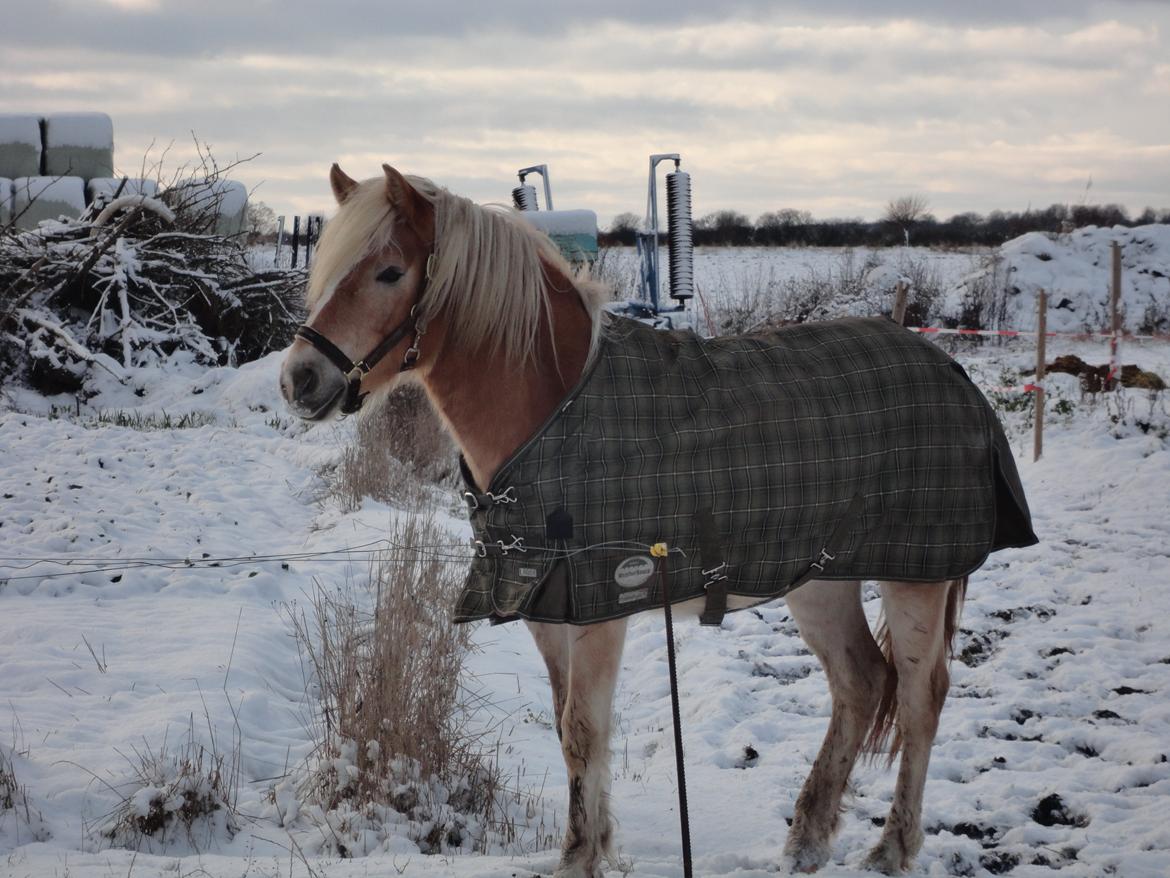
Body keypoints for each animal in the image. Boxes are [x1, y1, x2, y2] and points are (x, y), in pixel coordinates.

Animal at [283, 163, 1043, 875]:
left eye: (389, 271)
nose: (300, 380)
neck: (550, 408)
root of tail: (948, 365)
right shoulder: (544, 605)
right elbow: (568, 729)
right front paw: (587, 846)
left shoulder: (598, 607)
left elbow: (583, 730)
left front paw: (580, 859)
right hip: (823, 577)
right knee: (861, 684)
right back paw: (807, 840)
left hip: (918, 577)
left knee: (919, 698)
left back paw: (891, 849)